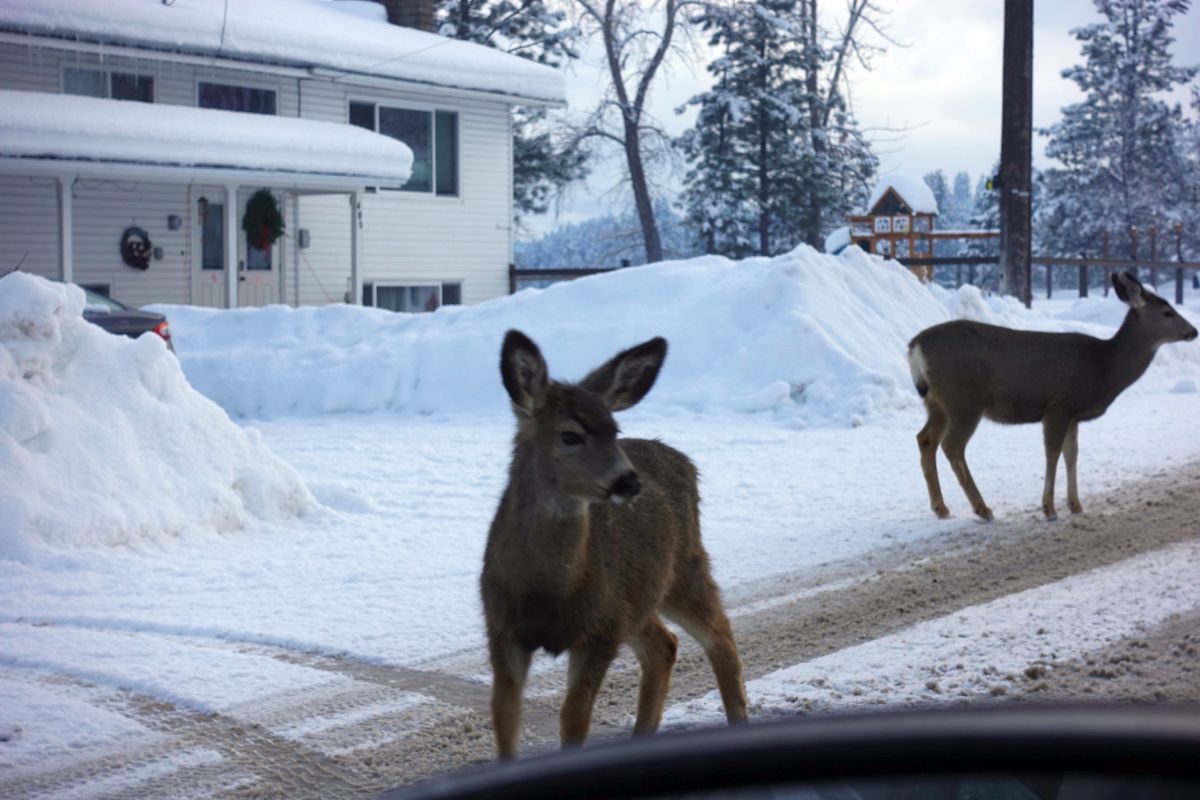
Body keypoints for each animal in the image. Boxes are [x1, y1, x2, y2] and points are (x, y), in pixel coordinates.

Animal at [480, 328, 744, 762]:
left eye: (614, 430)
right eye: (571, 435)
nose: (629, 481)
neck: (548, 590)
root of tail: (685, 461)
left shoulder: (601, 629)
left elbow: (573, 717)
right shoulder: (502, 628)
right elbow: (504, 716)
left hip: (681, 569)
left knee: (720, 636)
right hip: (639, 596)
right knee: (665, 645)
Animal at [912, 268, 1195, 522]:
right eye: (1168, 312)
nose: (1194, 331)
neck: (1104, 367)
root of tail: (915, 346)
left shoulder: (1073, 415)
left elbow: (1072, 455)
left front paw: (1076, 505)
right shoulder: (1059, 406)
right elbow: (1053, 453)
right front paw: (1049, 508)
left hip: (936, 402)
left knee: (925, 439)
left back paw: (941, 507)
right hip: (964, 399)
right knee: (952, 445)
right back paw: (982, 509)